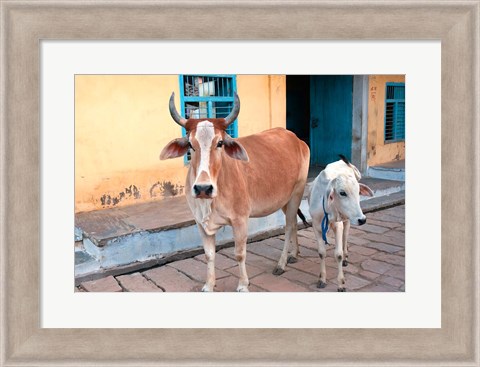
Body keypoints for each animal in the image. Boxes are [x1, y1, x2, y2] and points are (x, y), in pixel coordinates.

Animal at [160, 92, 312, 294]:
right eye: (191, 145)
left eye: (220, 143)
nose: (203, 188)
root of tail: (296, 138)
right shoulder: (200, 223)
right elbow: (209, 255)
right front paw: (209, 285)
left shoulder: (240, 220)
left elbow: (239, 254)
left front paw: (243, 285)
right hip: (284, 200)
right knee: (294, 222)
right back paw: (294, 254)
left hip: (297, 193)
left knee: (288, 227)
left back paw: (281, 264)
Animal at [308, 155, 376, 294]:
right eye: (342, 193)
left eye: (358, 192)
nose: (362, 219)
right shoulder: (316, 226)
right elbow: (321, 252)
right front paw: (322, 279)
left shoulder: (338, 225)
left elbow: (338, 254)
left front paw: (341, 284)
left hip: (347, 220)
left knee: (345, 238)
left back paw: (345, 257)